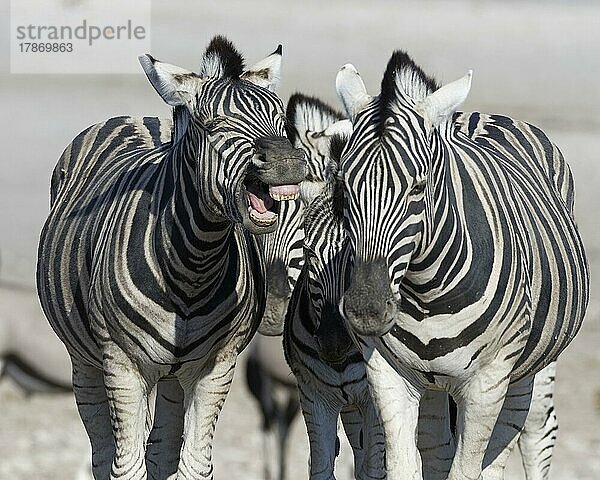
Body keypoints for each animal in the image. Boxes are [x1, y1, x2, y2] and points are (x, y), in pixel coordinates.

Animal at [36, 35, 310, 478]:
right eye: (213, 124)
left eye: (280, 120)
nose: (286, 162)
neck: (193, 266)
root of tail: (139, 116)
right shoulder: (122, 365)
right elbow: (125, 467)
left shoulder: (217, 365)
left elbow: (192, 465)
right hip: (85, 362)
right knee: (102, 451)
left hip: (171, 377)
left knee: (161, 449)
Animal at [332, 53, 592, 480]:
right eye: (344, 187)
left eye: (418, 187)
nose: (367, 311)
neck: (425, 290)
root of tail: (479, 114)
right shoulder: (387, 375)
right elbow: (407, 465)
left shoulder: (487, 383)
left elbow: (469, 469)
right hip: (438, 385)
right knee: (442, 446)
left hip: (533, 366)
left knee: (531, 431)